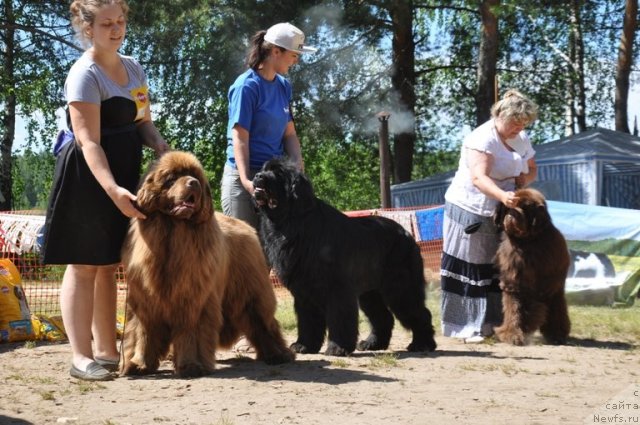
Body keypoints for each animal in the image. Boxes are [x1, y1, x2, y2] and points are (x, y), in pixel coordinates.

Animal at [120, 151, 296, 376]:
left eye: (195, 176)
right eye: (171, 178)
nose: (193, 183)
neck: (172, 232)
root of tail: (245, 226)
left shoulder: (194, 297)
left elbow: (191, 331)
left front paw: (191, 365)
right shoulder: (145, 300)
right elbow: (144, 333)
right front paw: (139, 363)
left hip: (250, 292)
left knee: (264, 322)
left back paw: (278, 354)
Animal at [252, 157, 438, 356]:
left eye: (278, 173)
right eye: (264, 169)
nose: (257, 176)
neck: (290, 221)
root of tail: (406, 234)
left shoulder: (338, 287)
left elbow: (339, 317)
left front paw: (337, 347)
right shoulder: (303, 290)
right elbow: (308, 319)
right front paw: (304, 345)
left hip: (400, 287)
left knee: (418, 312)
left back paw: (422, 344)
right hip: (370, 291)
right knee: (383, 316)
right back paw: (372, 344)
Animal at [496, 188, 568, 344]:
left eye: (525, 207)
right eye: (508, 207)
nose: (513, 212)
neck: (527, 241)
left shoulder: (547, 282)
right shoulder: (512, 281)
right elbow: (513, 308)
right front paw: (512, 334)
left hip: (555, 290)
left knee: (557, 310)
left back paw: (557, 335)